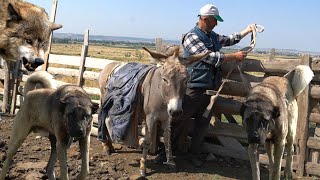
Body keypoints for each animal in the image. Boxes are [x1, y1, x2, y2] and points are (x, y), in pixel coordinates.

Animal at [98, 46, 210, 177]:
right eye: (165, 79)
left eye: (186, 80)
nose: (176, 111)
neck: (161, 97)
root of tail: (109, 64)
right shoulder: (150, 117)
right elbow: (147, 141)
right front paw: (143, 167)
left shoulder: (167, 117)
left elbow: (167, 139)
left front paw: (170, 162)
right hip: (104, 100)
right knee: (103, 120)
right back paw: (106, 147)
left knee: (107, 120)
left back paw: (111, 146)